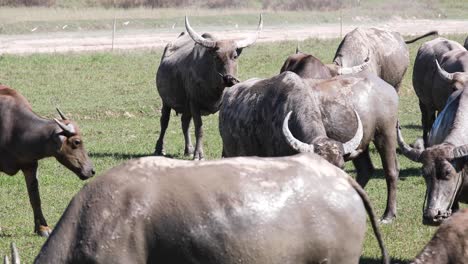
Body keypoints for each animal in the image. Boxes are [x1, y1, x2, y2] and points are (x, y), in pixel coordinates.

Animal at [0, 85, 95, 237]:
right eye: (76, 142)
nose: (91, 170)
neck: (13, 128)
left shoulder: (30, 166)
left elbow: (35, 197)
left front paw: (43, 228)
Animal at [154, 15, 262, 160]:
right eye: (217, 57)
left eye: (234, 56)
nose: (229, 79)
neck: (214, 89)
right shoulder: (194, 104)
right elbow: (199, 129)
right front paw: (198, 154)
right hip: (166, 101)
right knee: (164, 122)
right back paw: (160, 148)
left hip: (185, 107)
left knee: (184, 123)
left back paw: (188, 149)